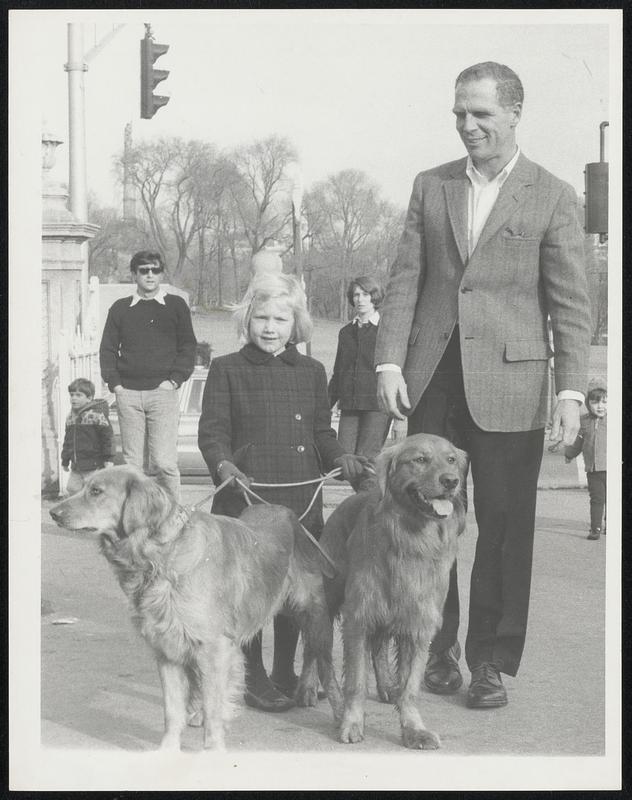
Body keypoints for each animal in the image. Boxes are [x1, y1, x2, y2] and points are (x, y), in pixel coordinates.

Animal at [50, 466, 344, 752]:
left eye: (96, 491)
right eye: (84, 487)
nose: (53, 513)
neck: (162, 555)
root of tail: (288, 514)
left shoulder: (214, 648)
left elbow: (214, 710)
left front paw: (212, 750)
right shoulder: (167, 649)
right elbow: (172, 710)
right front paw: (168, 749)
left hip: (315, 615)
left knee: (325, 665)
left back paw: (342, 718)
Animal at [304, 434, 466, 748]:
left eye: (451, 460)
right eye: (420, 459)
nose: (451, 481)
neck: (411, 539)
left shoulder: (419, 624)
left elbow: (411, 687)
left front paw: (413, 728)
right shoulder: (359, 617)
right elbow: (355, 681)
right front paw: (352, 723)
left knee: (378, 649)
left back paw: (388, 686)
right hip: (327, 599)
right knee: (314, 649)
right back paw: (307, 687)